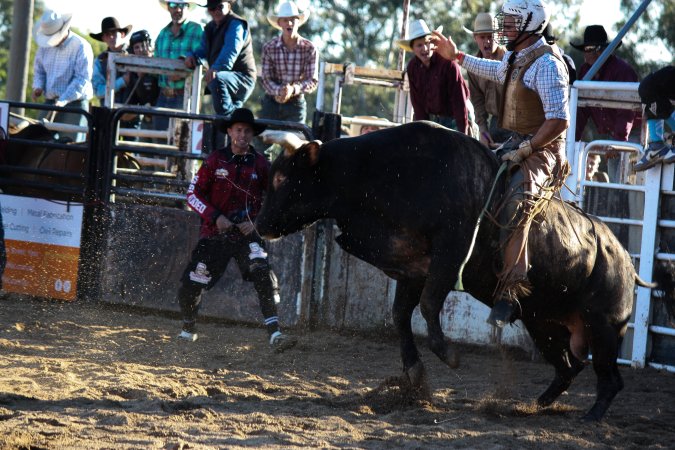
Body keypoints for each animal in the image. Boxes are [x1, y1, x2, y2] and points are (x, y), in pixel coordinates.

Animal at [256, 121, 671, 422]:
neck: (379, 172)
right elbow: (400, 314)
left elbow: (427, 306)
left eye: (280, 178)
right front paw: (415, 374)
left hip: (604, 328)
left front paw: (447, 355)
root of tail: (622, 257)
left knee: (610, 378)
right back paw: (535, 404)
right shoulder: (411, 268)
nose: (258, 225)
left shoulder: (450, 250)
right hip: (544, 323)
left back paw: (591, 416)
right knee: (569, 367)